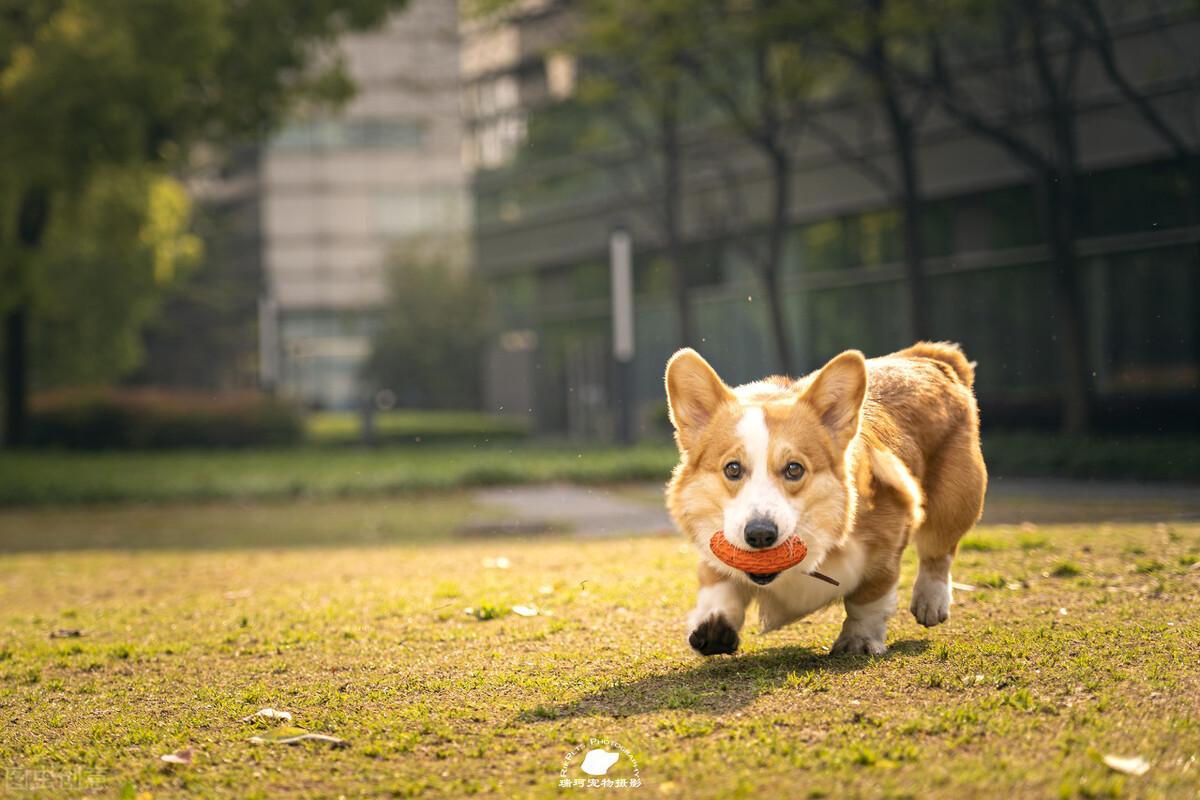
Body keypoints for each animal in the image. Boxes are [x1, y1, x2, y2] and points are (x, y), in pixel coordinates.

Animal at [667, 340, 984, 652]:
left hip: (955, 502)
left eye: (794, 469)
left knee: (938, 551)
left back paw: (931, 600)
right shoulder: (714, 545)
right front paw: (713, 625)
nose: (759, 535)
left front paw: (858, 640)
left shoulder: (888, 540)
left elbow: (869, 598)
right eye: (732, 468)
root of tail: (929, 359)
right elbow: (718, 585)